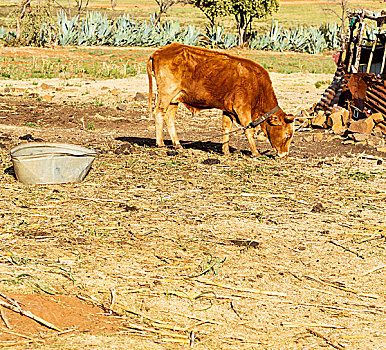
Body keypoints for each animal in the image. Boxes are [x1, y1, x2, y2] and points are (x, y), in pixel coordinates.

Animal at [148, 43, 296, 157]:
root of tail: (159, 52)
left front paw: (226, 150)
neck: (257, 84)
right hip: (166, 94)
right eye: (288, 134)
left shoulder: (228, 109)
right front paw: (255, 153)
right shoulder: (242, 108)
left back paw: (177, 144)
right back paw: (160, 143)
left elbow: (226, 128)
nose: (285, 154)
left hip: (175, 99)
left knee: (169, 118)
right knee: (159, 113)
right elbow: (249, 130)